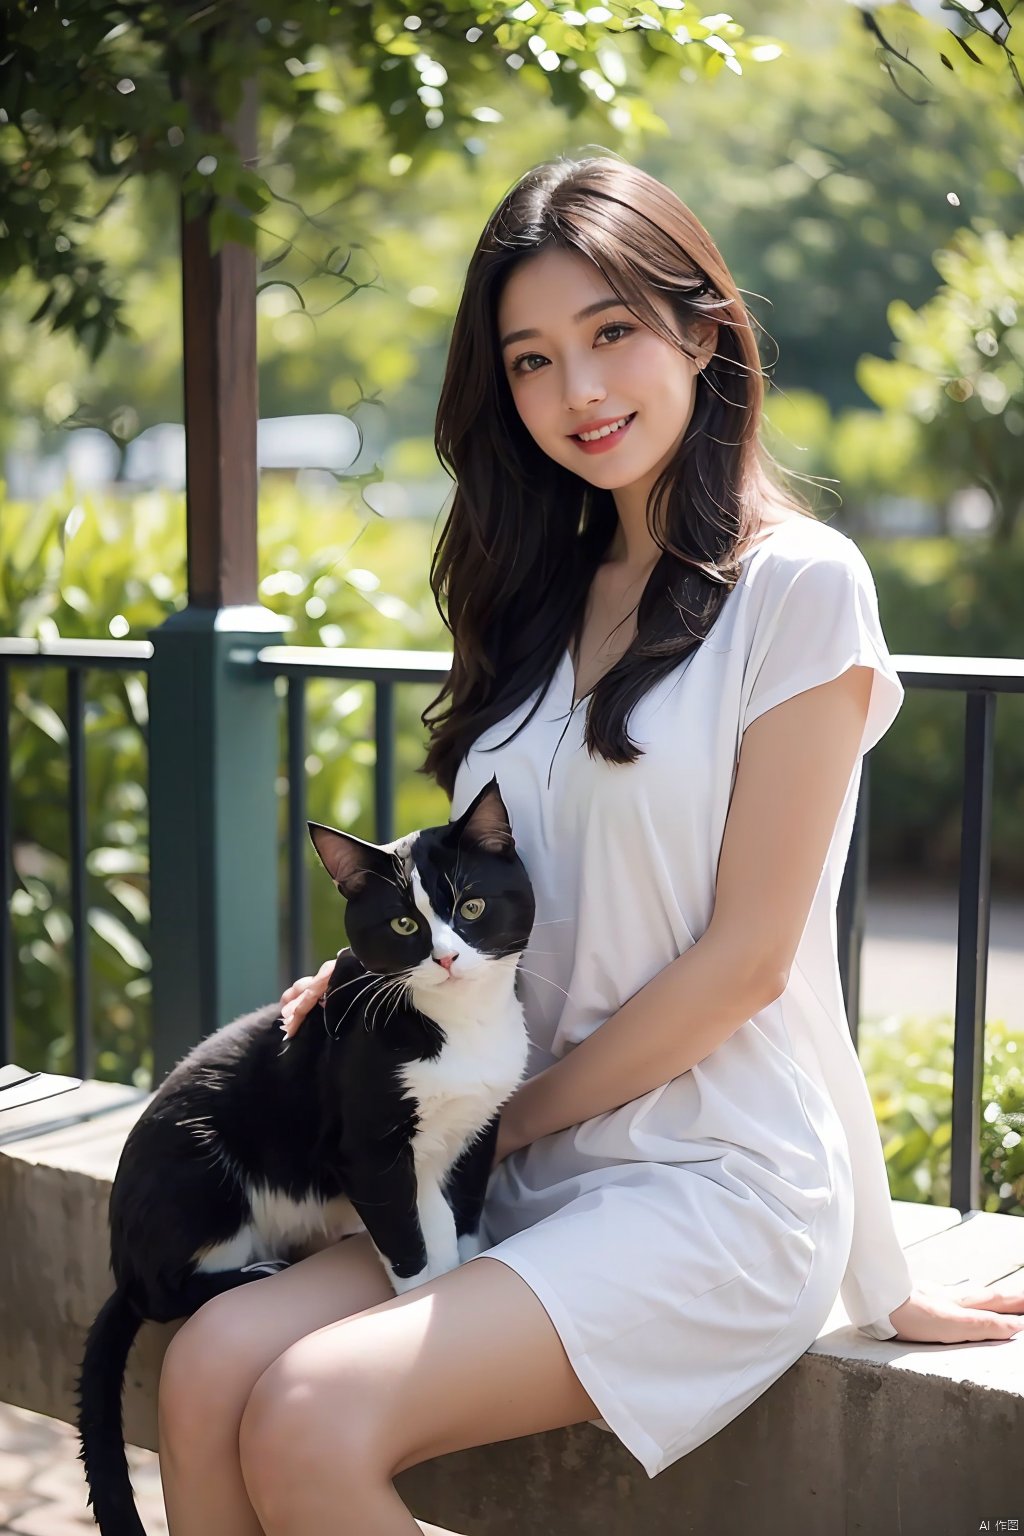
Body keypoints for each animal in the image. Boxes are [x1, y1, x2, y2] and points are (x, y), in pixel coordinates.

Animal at [75, 780, 534, 1536]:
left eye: (470, 906)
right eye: (403, 925)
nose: (445, 957)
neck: (457, 1029)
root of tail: (119, 1254)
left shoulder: (478, 1132)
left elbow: (455, 1221)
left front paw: (454, 1279)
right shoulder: (368, 1149)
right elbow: (410, 1241)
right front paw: (419, 1302)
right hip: (196, 1162)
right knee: (159, 1293)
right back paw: (248, 1272)